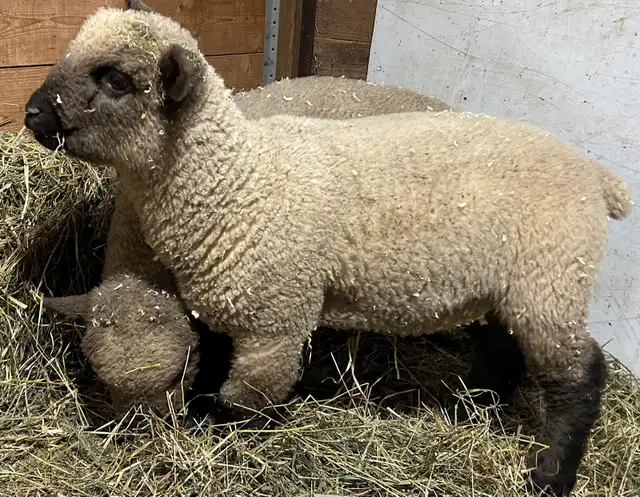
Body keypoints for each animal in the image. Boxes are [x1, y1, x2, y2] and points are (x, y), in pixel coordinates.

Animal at [23, 6, 633, 496]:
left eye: (117, 80)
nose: (31, 113)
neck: (235, 180)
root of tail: (597, 177)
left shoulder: (274, 321)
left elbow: (247, 397)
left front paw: (228, 441)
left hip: (551, 276)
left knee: (579, 377)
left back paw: (549, 475)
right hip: (502, 281)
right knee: (501, 345)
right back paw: (474, 404)